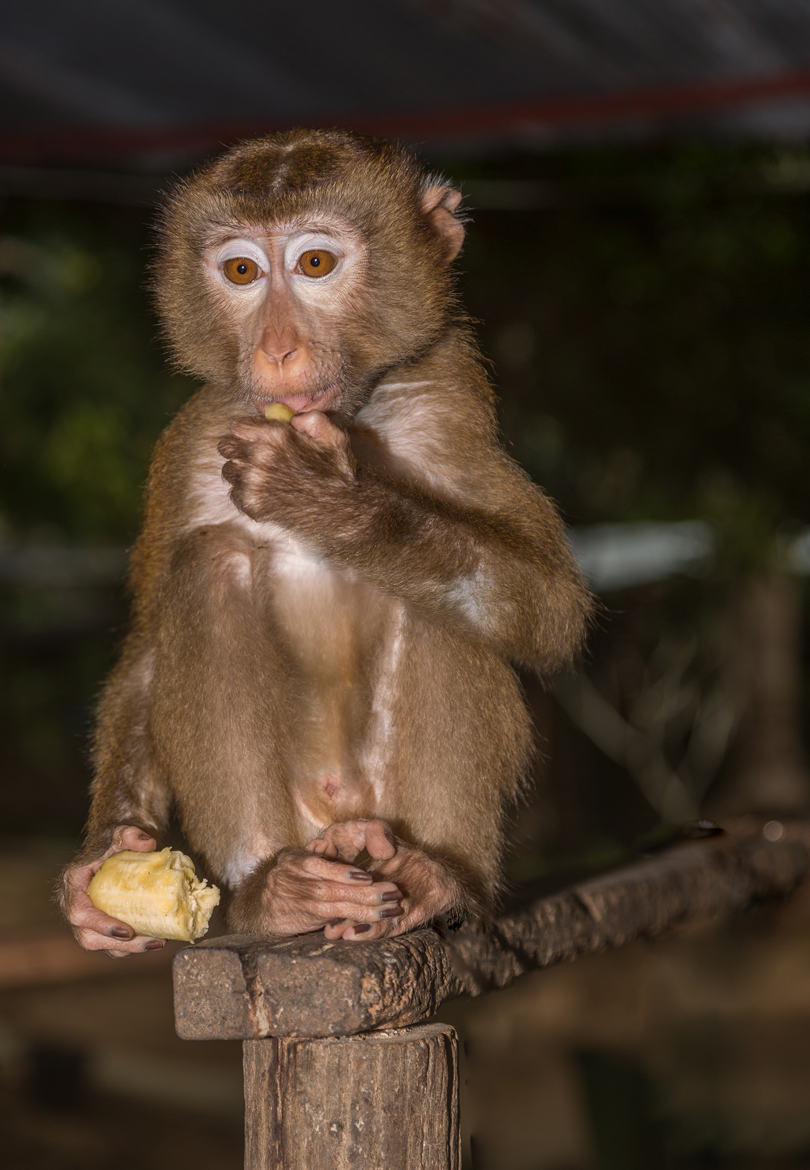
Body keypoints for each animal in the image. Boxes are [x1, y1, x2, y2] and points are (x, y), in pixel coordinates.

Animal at [57, 128, 587, 954]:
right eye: (242, 271)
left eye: (314, 264)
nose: (276, 350)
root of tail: (341, 823)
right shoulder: (193, 444)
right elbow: (145, 655)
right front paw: (99, 867)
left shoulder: (449, 417)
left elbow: (551, 607)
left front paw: (335, 503)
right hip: (301, 821)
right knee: (212, 563)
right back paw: (271, 895)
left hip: (382, 805)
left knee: (441, 604)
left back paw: (437, 880)